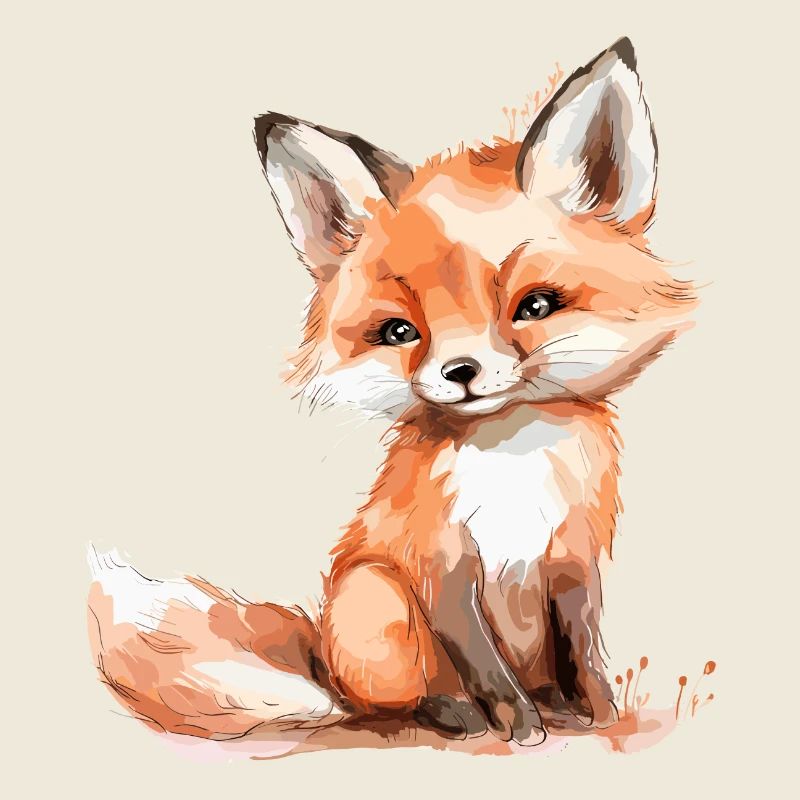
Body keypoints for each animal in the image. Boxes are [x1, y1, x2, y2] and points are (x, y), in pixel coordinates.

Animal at [88, 37, 698, 748]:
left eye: (536, 306)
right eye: (400, 331)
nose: (460, 371)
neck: (514, 464)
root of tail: (323, 664)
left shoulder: (573, 559)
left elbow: (588, 652)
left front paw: (601, 715)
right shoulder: (440, 570)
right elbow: (487, 668)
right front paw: (518, 727)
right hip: (374, 598)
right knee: (391, 702)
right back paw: (456, 714)